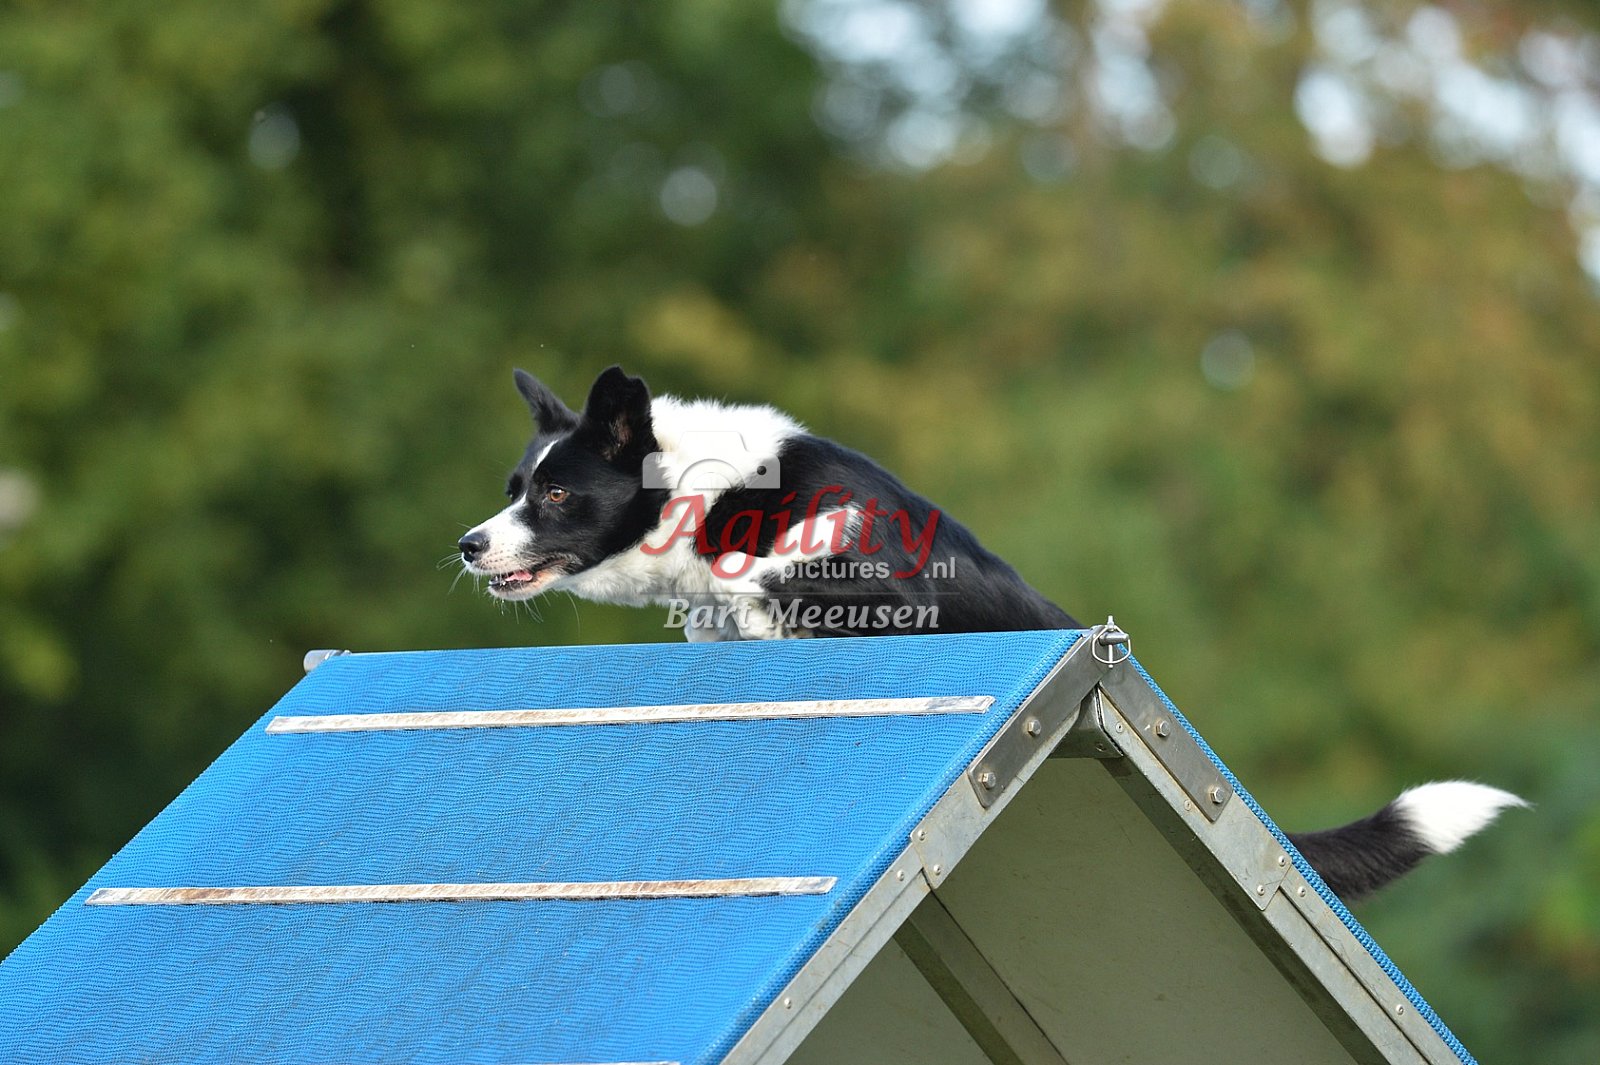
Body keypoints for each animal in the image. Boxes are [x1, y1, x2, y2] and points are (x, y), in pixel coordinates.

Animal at [458, 365, 1525, 900]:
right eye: (514, 486)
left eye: (557, 495)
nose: (469, 544)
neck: (710, 493)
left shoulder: (864, 590)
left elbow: (775, 587)